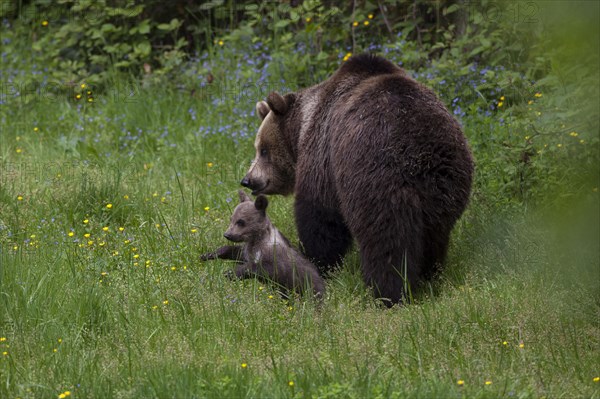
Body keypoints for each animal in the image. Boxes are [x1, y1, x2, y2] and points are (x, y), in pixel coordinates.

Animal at [240, 54, 474, 306]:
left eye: (263, 149)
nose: (248, 179)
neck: (303, 126)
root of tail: (419, 153)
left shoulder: (323, 154)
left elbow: (319, 214)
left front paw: (318, 261)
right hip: (446, 183)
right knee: (435, 234)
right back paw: (430, 276)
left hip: (374, 177)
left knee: (386, 239)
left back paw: (388, 293)